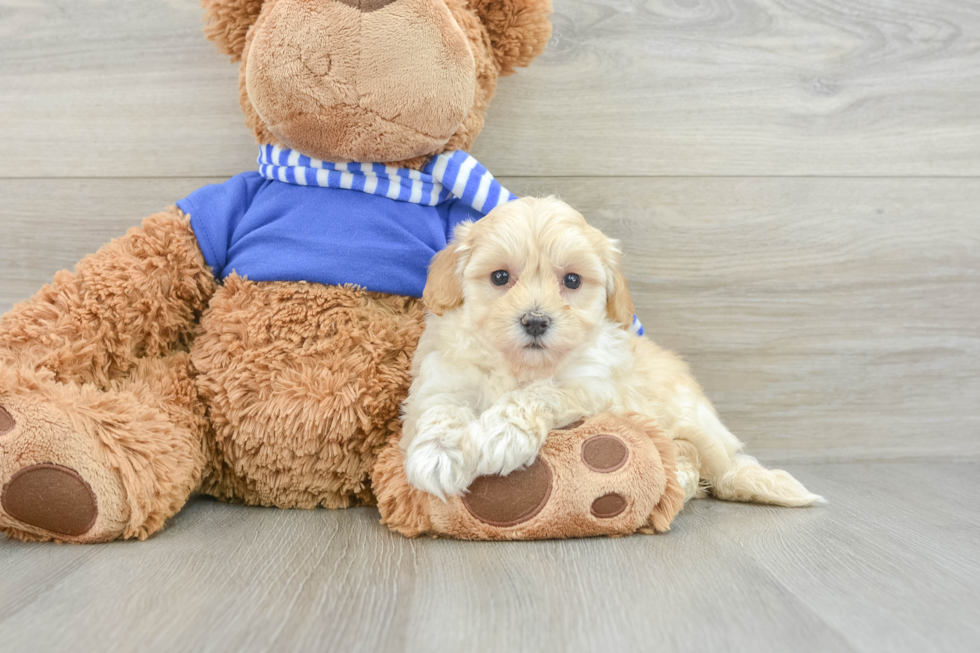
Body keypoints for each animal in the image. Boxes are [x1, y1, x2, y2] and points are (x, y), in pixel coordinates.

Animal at [402, 196, 824, 506]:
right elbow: (440, 409)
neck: (521, 365)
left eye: (572, 280)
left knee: (693, 456)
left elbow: (536, 394)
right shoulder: (447, 376)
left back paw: (681, 478)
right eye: (500, 277)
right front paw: (437, 455)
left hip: (689, 422)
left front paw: (499, 434)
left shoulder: (591, 387)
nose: (535, 321)